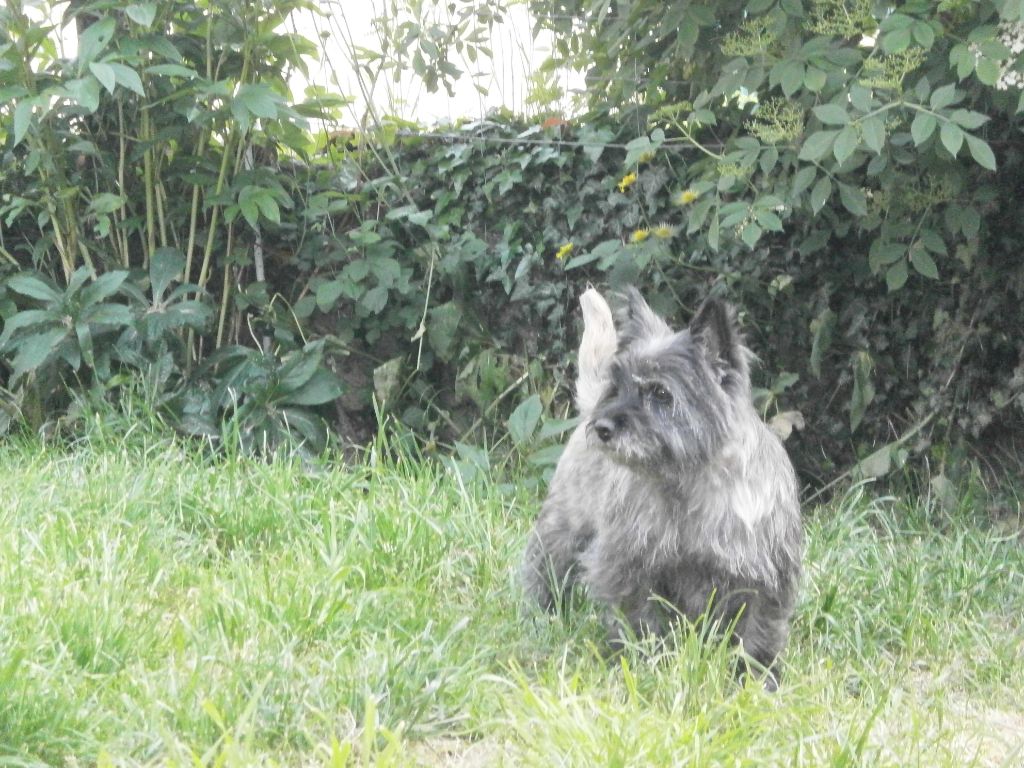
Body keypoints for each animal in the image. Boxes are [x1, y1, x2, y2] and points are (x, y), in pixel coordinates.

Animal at [524, 286, 802, 684]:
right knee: (544, 571)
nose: (603, 427)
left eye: (660, 393)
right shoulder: (629, 564)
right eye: (617, 385)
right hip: (563, 529)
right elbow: (640, 621)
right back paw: (540, 617)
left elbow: (760, 632)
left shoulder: (766, 576)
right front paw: (646, 665)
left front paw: (757, 679)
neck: (691, 482)